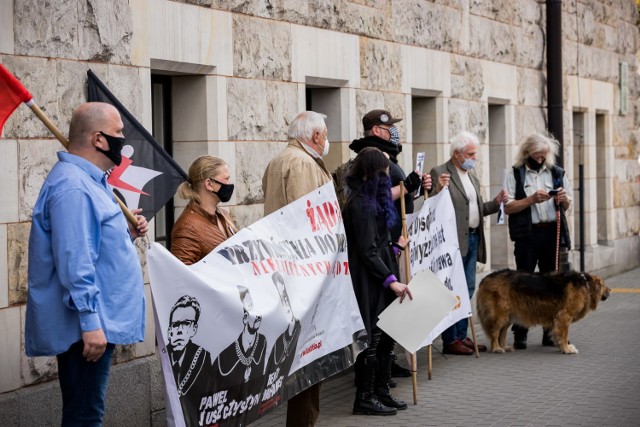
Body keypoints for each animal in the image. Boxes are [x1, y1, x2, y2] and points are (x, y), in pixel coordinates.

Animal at [476, 270, 608, 354]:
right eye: (604, 286)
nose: (609, 291)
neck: (585, 284)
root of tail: (485, 278)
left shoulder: (557, 320)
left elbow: (557, 334)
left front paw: (561, 346)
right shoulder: (564, 317)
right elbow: (564, 335)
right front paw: (566, 349)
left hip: (508, 316)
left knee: (502, 333)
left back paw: (504, 347)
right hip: (500, 315)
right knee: (495, 333)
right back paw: (496, 348)